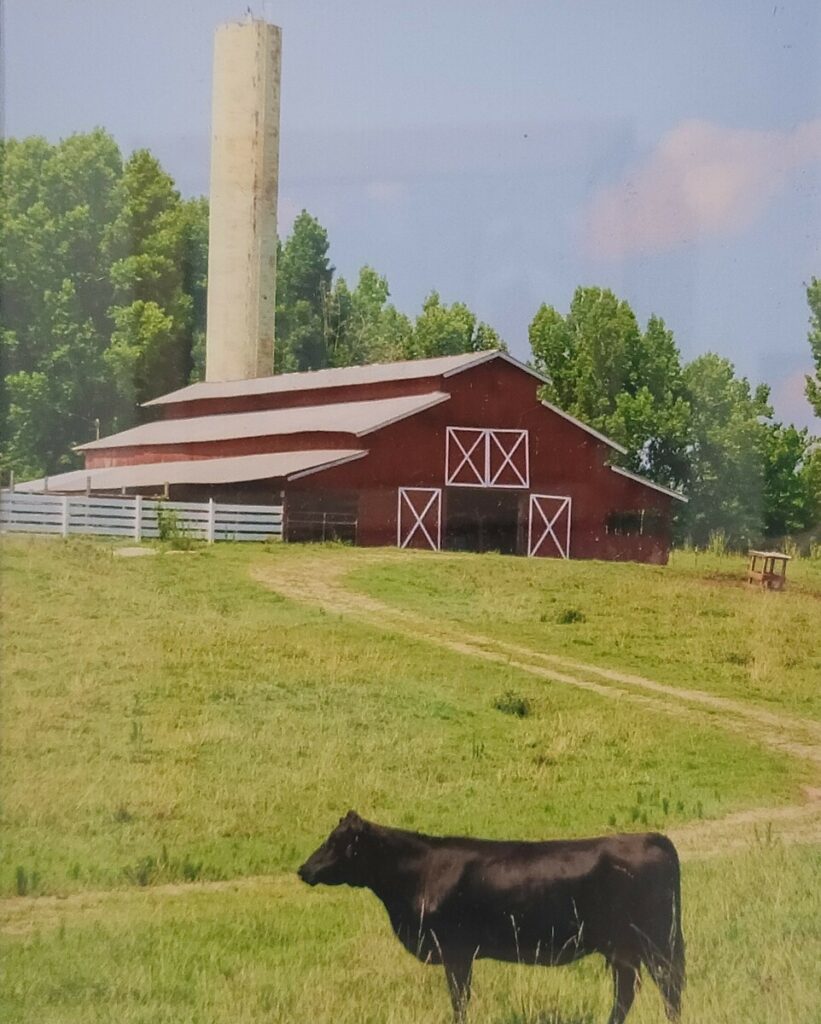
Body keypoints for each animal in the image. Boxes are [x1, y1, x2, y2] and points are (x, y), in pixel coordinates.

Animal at [296, 811, 679, 1019]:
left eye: (335, 842)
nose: (303, 869)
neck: (420, 873)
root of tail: (652, 837)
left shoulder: (456, 951)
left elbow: (459, 1001)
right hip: (626, 949)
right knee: (630, 991)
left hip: (652, 941)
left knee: (666, 988)